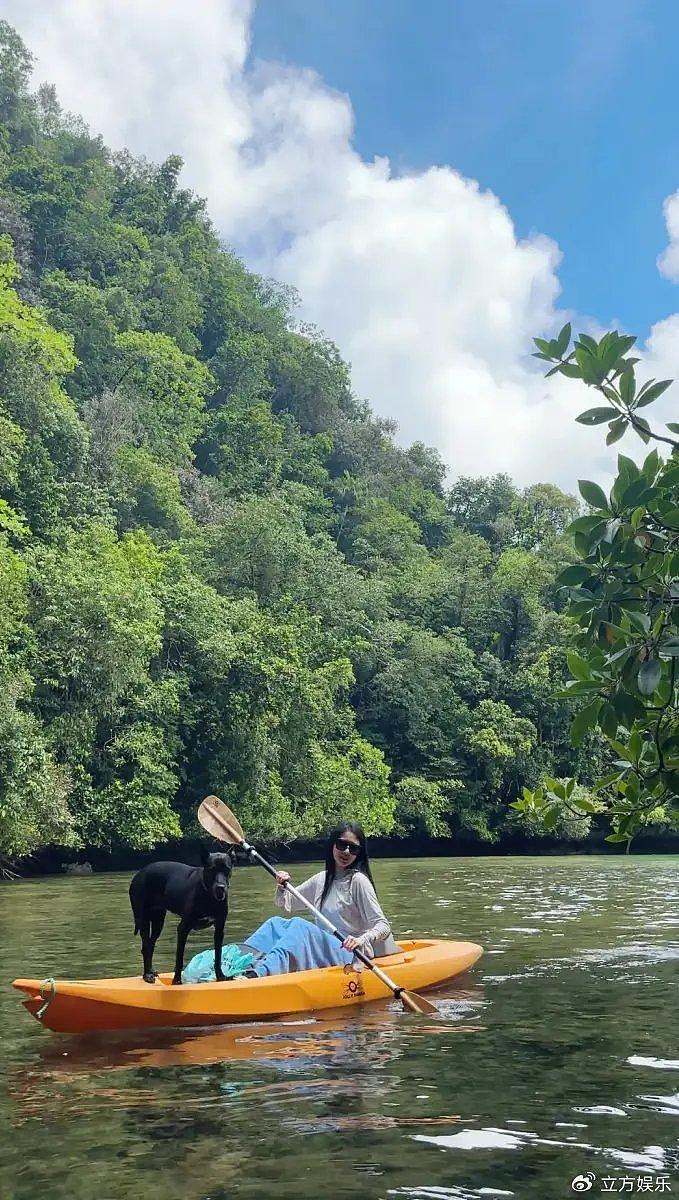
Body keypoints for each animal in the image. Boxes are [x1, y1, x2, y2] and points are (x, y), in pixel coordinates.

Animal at [128, 844, 235, 984]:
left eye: (227, 869)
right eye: (212, 869)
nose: (221, 887)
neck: (208, 895)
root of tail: (139, 873)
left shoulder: (219, 930)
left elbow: (218, 957)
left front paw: (221, 977)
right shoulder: (183, 929)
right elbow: (179, 958)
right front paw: (177, 981)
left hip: (158, 921)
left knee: (150, 945)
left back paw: (151, 971)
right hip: (143, 919)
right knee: (146, 946)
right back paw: (147, 975)